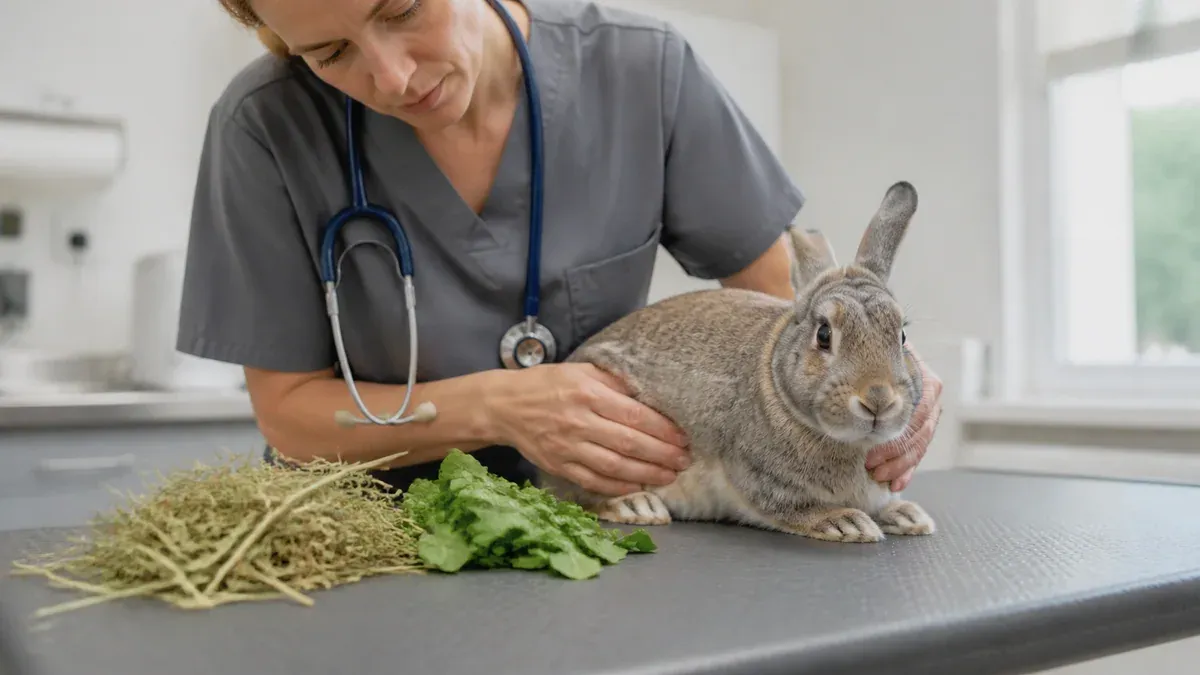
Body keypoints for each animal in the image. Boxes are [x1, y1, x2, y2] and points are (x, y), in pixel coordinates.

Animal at [536, 181, 935, 543]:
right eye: (824, 334)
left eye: (901, 335)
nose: (879, 400)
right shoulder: (758, 476)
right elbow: (792, 509)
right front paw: (846, 523)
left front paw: (908, 516)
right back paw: (635, 505)